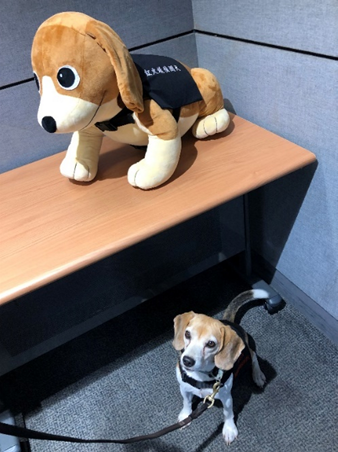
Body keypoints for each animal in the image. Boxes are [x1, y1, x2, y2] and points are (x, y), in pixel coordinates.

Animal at [31, 11, 230, 189]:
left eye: (65, 77)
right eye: (35, 80)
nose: (47, 123)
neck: (111, 115)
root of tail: (187, 66)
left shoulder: (154, 114)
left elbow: (164, 141)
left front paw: (147, 171)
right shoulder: (89, 122)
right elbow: (83, 137)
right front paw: (76, 162)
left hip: (204, 82)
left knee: (216, 105)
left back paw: (210, 122)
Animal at [173, 290, 268, 444]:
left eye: (211, 344)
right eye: (187, 334)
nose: (187, 361)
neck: (201, 375)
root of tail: (229, 322)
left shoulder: (226, 396)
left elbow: (228, 413)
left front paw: (229, 429)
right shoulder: (184, 388)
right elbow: (186, 402)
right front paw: (185, 416)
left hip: (247, 350)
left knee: (254, 356)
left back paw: (257, 375)